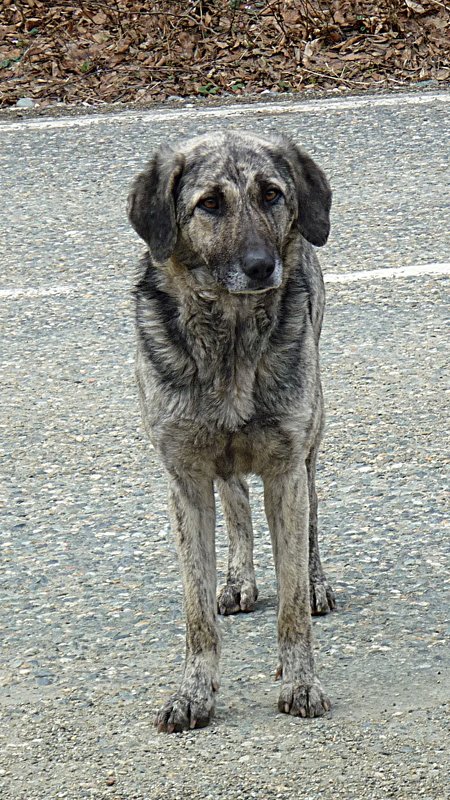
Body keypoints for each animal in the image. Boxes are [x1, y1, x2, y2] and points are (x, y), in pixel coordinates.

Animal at [126, 130, 334, 732]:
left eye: (271, 195)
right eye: (210, 204)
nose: (262, 266)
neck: (232, 341)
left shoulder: (286, 470)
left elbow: (292, 608)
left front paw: (300, 682)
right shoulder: (186, 481)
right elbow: (196, 613)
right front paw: (194, 692)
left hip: (311, 441)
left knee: (310, 521)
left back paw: (316, 580)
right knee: (237, 499)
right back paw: (240, 577)